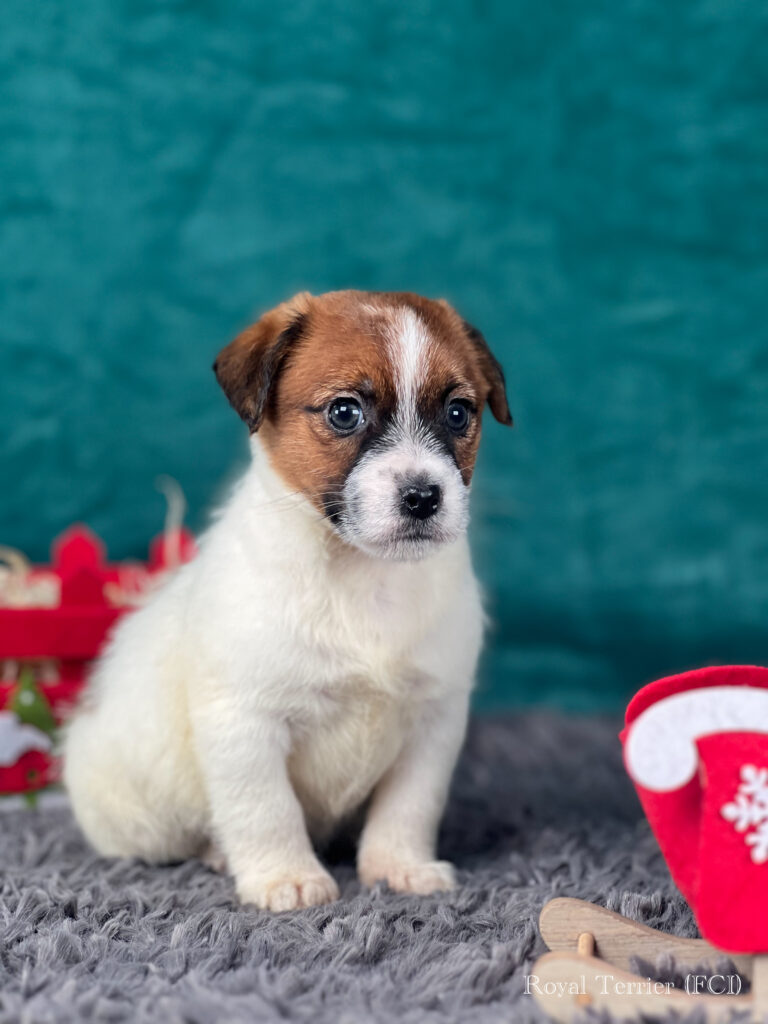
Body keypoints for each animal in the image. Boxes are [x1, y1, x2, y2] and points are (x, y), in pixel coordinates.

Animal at [64, 290, 512, 913]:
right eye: (344, 412)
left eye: (458, 414)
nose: (423, 497)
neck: (360, 576)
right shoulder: (245, 722)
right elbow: (266, 810)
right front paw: (286, 878)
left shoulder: (432, 722)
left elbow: (408, 807)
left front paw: (400, 866)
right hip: (138, 821)